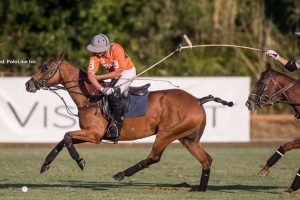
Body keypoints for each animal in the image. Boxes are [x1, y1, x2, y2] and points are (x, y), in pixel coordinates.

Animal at [25, 52, 232, 191]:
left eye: (45, 67)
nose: (28, 84)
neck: (90, 97)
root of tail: (197, 100)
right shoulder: (91, 134)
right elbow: (63, 139)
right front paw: (45, 165)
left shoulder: (94, 134)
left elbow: (66, 136)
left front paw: (80, 161)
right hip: (188, 138)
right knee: (206, 159)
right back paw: (200, 188)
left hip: (167, 133)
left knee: (153, 157)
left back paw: (120, 174)